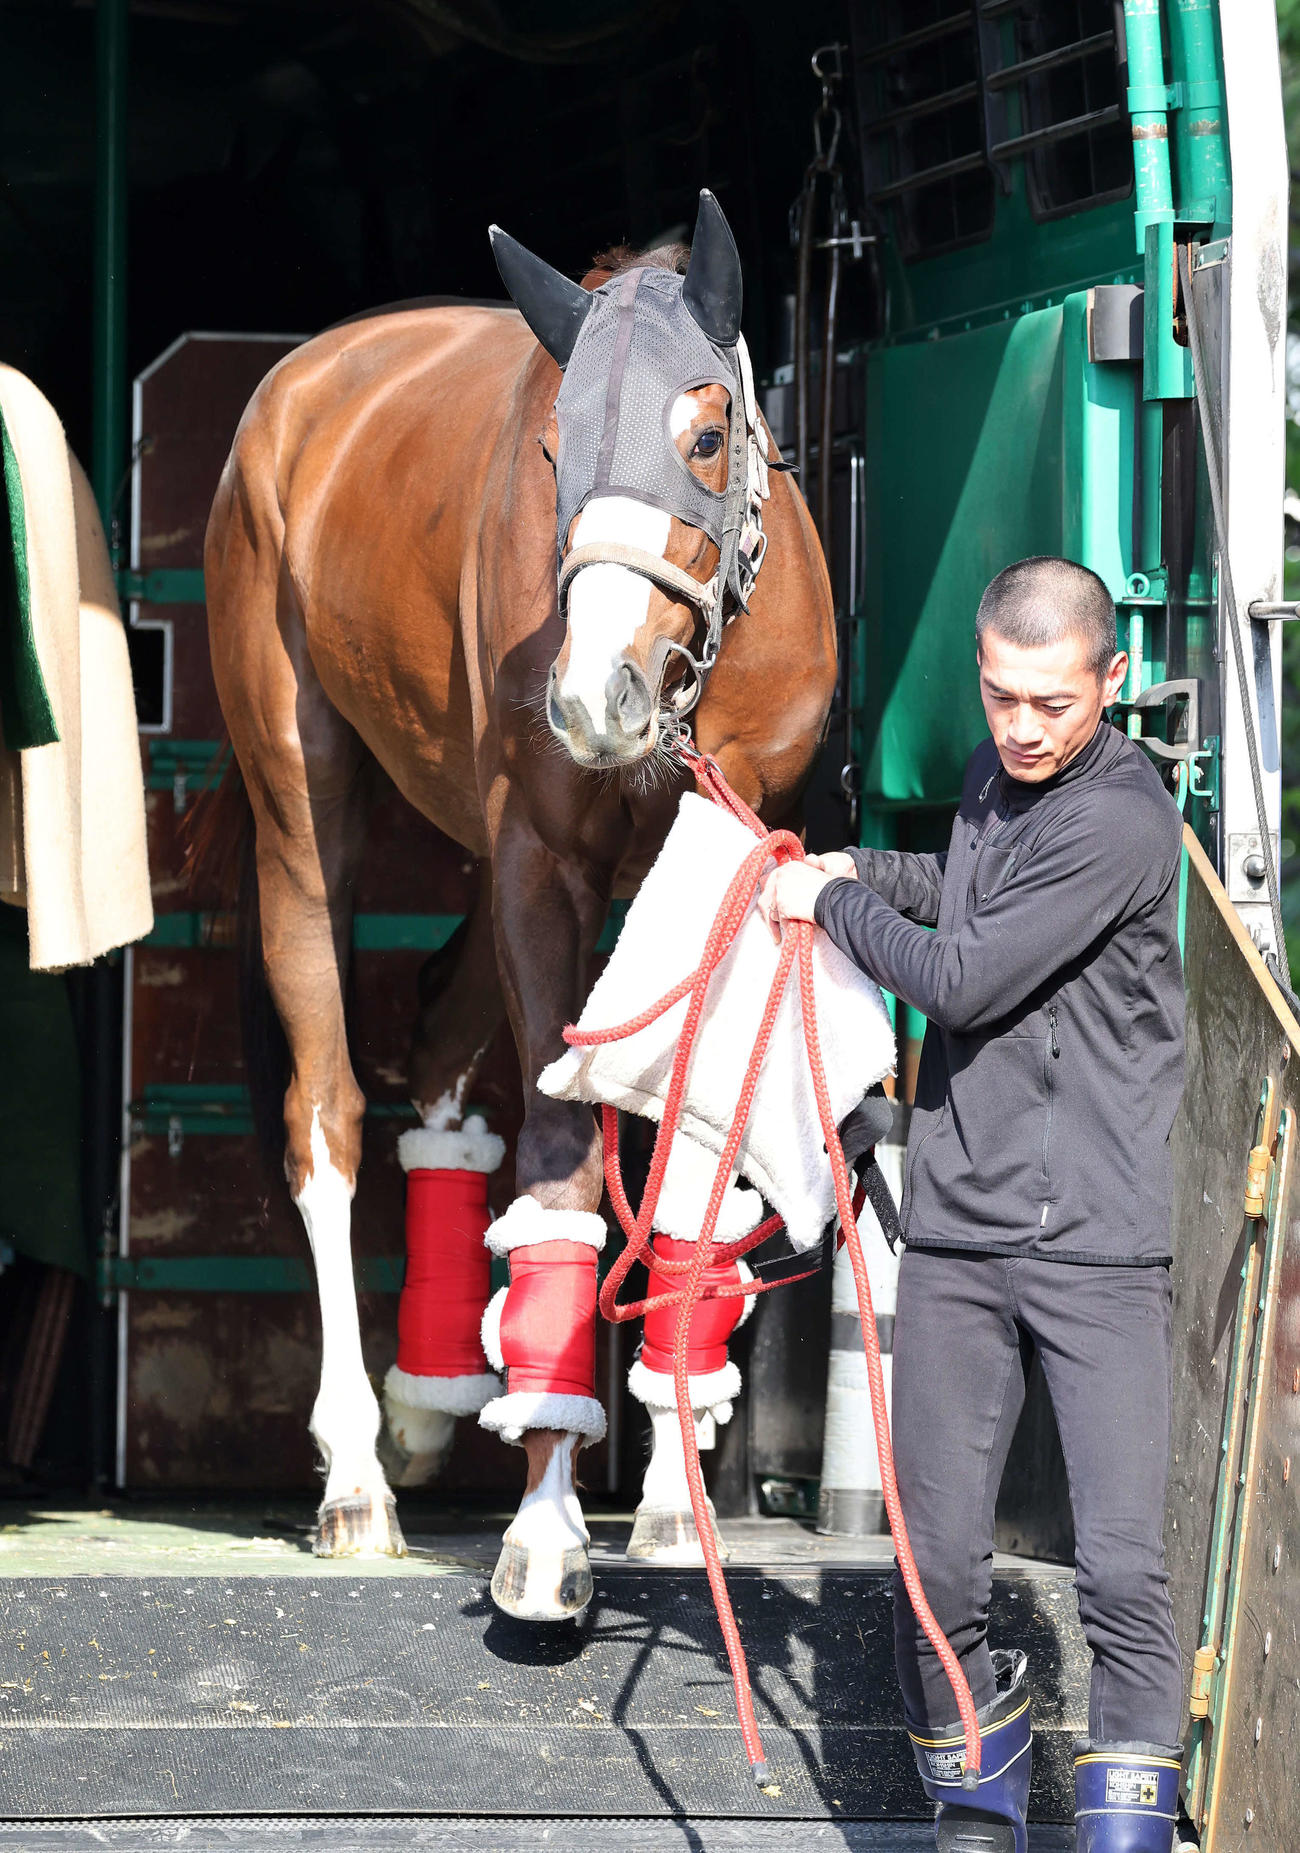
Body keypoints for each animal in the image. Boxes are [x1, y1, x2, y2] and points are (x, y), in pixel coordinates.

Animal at [203, 189, 836, 1617]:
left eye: (703, 433)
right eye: (556, 450)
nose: (593, 695)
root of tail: (302, 382)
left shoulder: (726, 868)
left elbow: (686, 1163)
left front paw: (669, 1502)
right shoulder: (540, 861)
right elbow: (559, 1167)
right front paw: (546, 1532)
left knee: (442, 1034)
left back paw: (429, 1399)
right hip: (309, 811)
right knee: (327, 1112)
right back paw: (357, 1471)